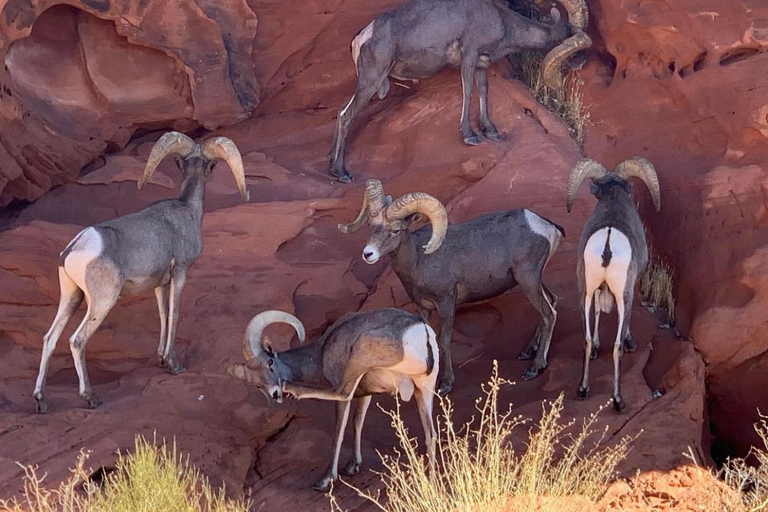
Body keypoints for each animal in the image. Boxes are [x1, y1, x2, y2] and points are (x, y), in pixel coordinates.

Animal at [33, 131, 249, 412]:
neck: (187, 210)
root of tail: (76, 246)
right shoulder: (180, 272)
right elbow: (175, 314)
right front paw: (173, 365)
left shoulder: (159, 284)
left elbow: (163, 315)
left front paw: (161, 359)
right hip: (102, 302)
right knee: (77, 341)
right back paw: (91, 398)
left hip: (71, 297)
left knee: (49, 339)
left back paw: (41, 400)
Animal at [328, 0, 592, 182]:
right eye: (570, 35)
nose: (581, 62)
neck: (501, 21)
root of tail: (360, 40)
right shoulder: (469, 55)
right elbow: (468, 91)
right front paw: (470, 136)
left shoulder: (481, 65)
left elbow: (483, 90)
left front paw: (491, 131)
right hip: (371, 81)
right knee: (346, 115)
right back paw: (342, 173)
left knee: (341, 111)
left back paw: (331, 166)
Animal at [568, 156, 664, 412]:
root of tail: (607, 247)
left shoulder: (595, 290)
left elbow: (597, 315)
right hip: (623, 297)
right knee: (617, 346)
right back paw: (618, 401)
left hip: (584, 293)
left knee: (586, 338)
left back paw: (583, 389)